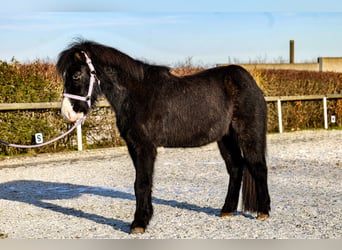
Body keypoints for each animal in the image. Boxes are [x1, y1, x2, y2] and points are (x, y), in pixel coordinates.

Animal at [56, 40, 270, 233]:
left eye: (76, 75)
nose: (67, 113)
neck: (135, 94)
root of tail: (250, 82)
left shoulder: (145, 147)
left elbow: (142, 183)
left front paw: (139, 224)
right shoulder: (133, 146)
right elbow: (142, 183)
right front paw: (144, 218)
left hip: (248, 134)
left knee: (258, 167)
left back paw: (263, 212)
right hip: (226, 138)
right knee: (236, 167)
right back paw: (227, 210)